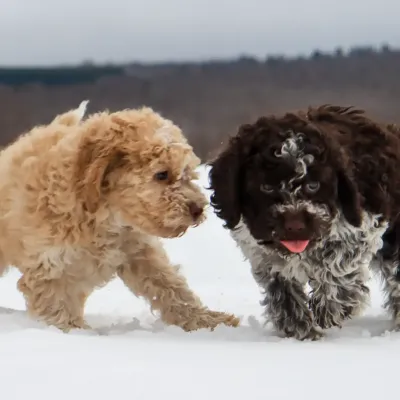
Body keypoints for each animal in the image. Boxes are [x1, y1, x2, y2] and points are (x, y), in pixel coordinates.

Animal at [0, 101, 241, 332]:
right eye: (162, 175)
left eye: (186, 174)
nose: (198, 209)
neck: (105, 217)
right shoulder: (50, 267)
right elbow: (57, 307)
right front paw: (76, 333)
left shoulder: (139, 251)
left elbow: (171, 287)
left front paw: (207, 321)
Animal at [208, 104, 400, 340]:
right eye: (266, 187)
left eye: (313, 185)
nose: (295, 227)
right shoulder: (261, 251)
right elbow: (280, 284)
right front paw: (297, 326)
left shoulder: (363, 222)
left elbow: (338, 264)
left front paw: (331, 309)